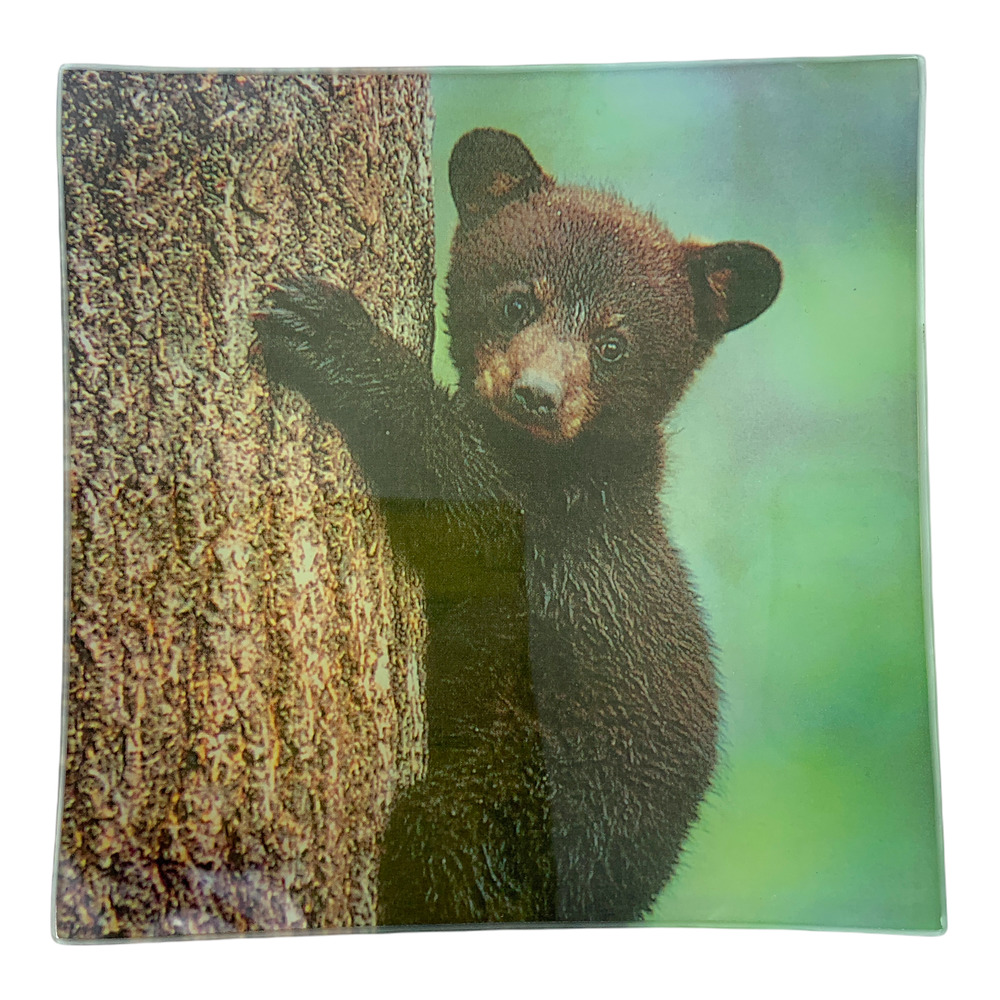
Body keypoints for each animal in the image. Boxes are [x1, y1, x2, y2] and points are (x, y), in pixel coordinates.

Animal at [255, 128, 781, 925]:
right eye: (515, 302)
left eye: (614, 344)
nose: (537, 395)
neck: (556, 460)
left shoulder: (562, 522)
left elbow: (468, 502)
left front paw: (330, 331)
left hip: (528, 800)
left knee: (449, 848)